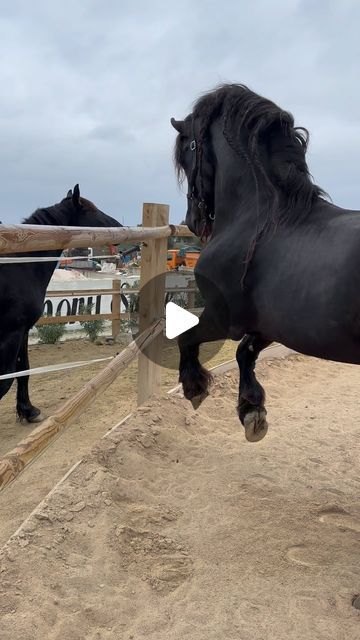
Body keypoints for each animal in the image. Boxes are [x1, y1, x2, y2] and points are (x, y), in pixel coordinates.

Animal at [0, 184, 121, 424]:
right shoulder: (11, 334)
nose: (120, 226)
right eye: (91, 210)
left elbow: (23, 370)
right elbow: (6, 380)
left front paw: (28, 410)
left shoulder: (22, 332)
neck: (20, 265)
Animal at [172, 82, 360, 442]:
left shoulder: (222, 318)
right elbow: (244, 352)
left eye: (188, 151)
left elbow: (186, 336)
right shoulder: (270, 323)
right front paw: (252, 410)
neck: (256, 220)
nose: (192, 221)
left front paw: (195, 386)